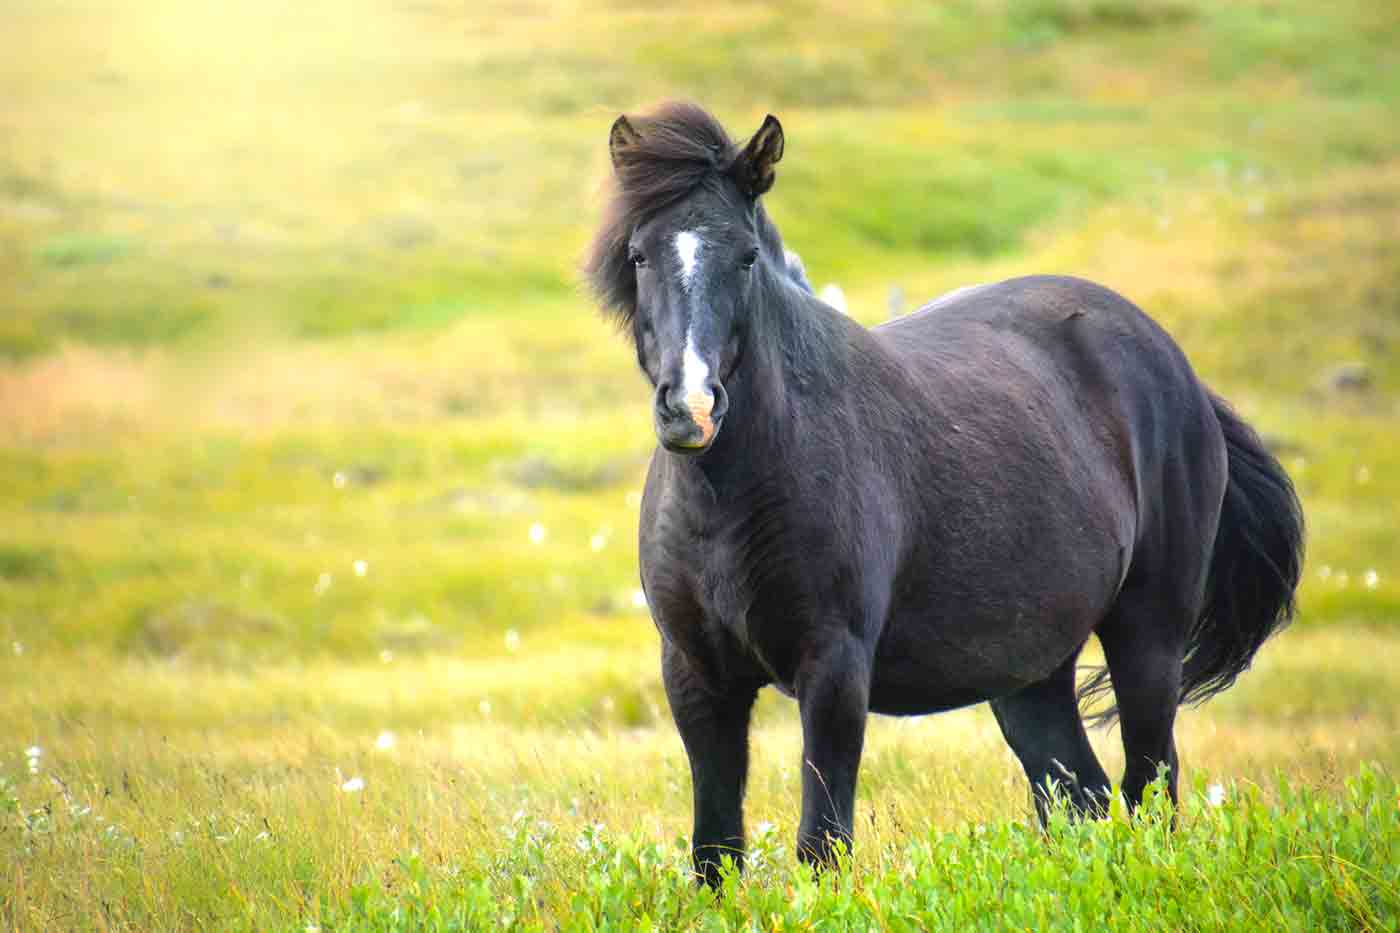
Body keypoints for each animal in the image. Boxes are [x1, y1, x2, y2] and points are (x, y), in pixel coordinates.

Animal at [582, 100, 1299, 879]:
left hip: (1148, 638)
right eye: (640, 255)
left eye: (744, 256)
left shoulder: (834, 672)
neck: (730, 499)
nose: (691, 407)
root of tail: (1178, 368)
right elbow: (714, 854)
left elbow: (821, 846)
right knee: (1081, 798)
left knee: (1150, 791)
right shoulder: (696, 678)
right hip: (1031, 675)